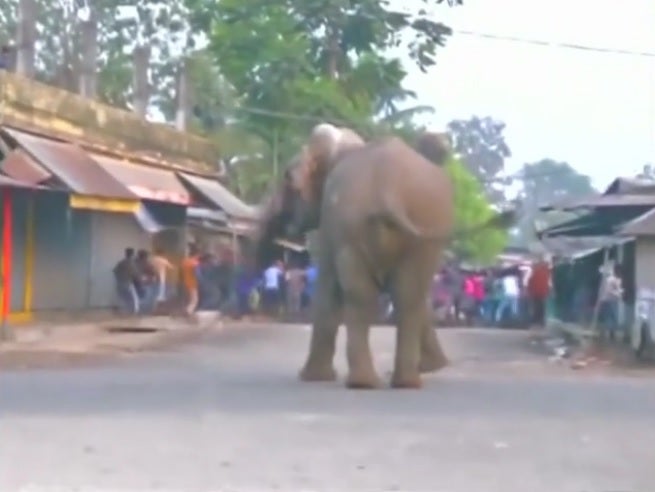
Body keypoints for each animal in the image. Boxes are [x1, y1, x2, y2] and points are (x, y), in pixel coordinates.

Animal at [255, 123, 508, 388]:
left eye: (287, 177)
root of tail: (388, 188)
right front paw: (434, 367)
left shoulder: (330, 224)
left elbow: (327, 288)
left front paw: (311, 378)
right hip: (420, 228)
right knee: (408, 294)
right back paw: (405, 382)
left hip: (354, 229)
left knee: (362, 294)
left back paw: (365, 382)